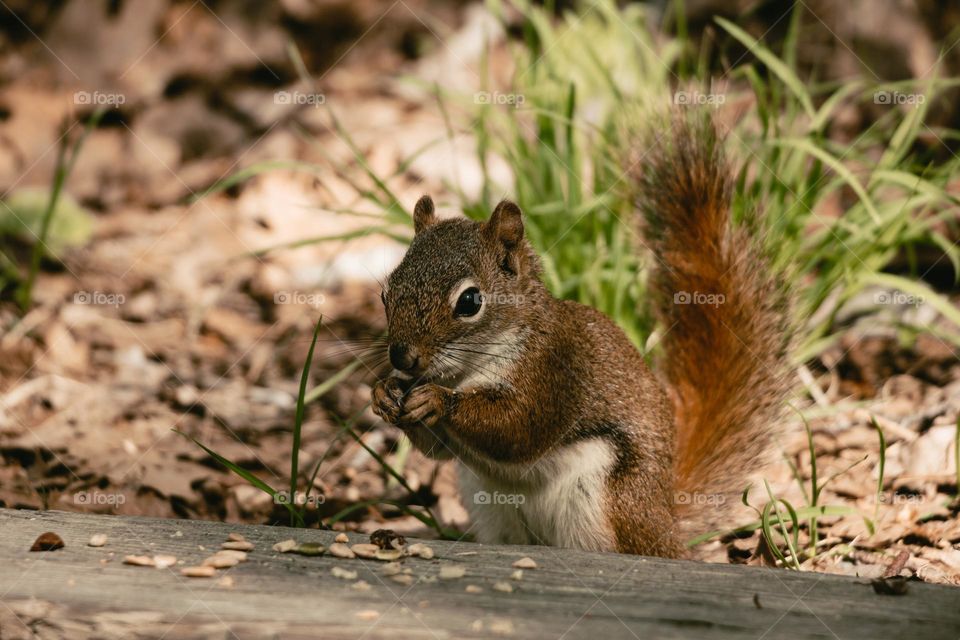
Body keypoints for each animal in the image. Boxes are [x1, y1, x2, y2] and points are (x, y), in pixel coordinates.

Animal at [372, 116, 792, 560]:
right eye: (386, 293)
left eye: (470, 301)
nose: (401, 357)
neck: (468, 369)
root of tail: (667, 523)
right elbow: (436, 449)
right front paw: (382, 393)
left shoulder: (555, 373)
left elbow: (518, 429)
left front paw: (437, 400)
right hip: (487, 504)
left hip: (609, 500)